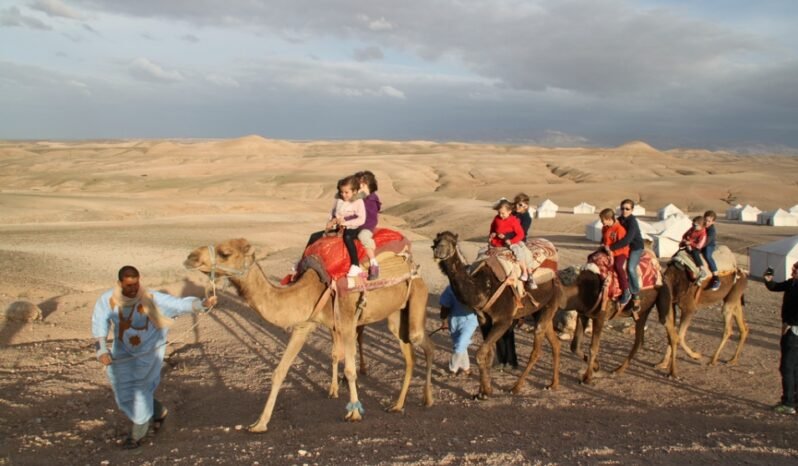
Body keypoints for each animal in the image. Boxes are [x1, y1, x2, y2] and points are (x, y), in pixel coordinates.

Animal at [184, 240, 434, 434]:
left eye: (225, 253)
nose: (190, 257)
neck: (311, 287)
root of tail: (414, 267)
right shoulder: (304, 324)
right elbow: (280, 371)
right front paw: (259, 423)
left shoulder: (347, 322)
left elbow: (349, 370)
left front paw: (354, 414)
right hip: (395, 316)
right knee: (410, 355)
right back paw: (397, 405)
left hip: (417, 297)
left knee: (424, 344)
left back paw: (428, 399)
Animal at [434, 231, 564, 398]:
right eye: (436, 241)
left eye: (452, 242)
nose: (438, 250)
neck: (484, 288)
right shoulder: (483, 320)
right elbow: (488, 354)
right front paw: (483, 391)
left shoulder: (503, 320)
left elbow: (481, 354)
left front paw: (484, 392)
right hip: (540, 310)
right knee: (555, 343)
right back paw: (553, 384)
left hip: (552, 302)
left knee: (536, 350)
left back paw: (516, 387)